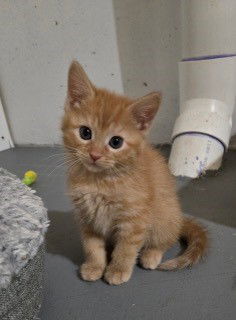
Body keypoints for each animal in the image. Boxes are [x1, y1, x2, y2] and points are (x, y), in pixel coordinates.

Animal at [61, 60, 207, 284]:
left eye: (116, 142)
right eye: (85, 133)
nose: (95, 155)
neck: (100, 181)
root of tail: (179, 217)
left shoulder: (135, 219)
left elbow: (126, 248)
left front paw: (118, 269)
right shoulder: (86, 217)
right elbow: (92, 245)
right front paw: (95, 265)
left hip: (164, 215)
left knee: (166, 239)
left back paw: (151, 254)